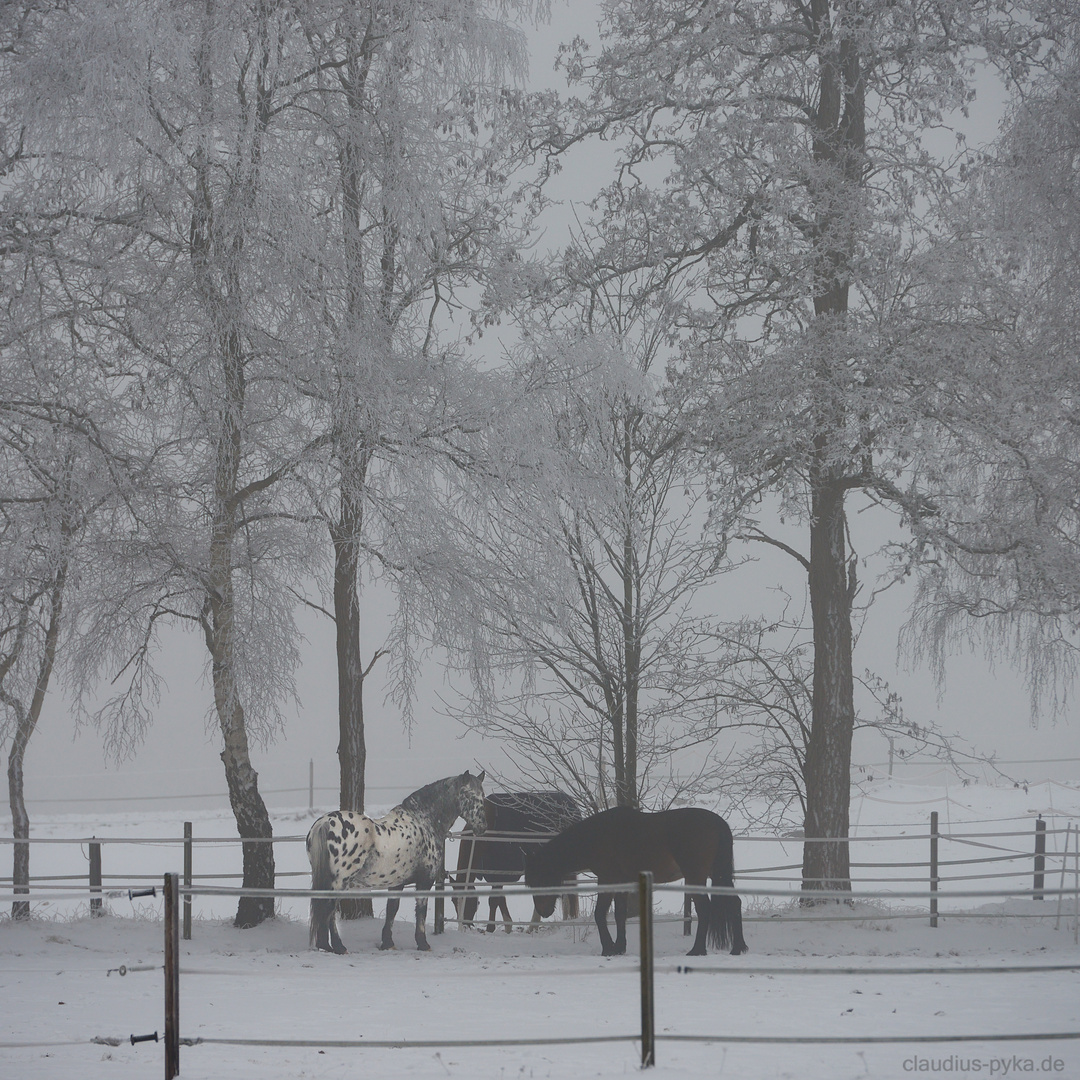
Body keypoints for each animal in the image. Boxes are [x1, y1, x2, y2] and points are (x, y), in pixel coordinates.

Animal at [306, 768, 488, 954]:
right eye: (469, 795)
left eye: (483, 796)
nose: (482, 827)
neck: (424, 822)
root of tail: (325, 823)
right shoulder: (425, 881)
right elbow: (420, 911)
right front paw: (423, 944)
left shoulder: (396, 883)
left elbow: (391, 910)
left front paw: (387, 943)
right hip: (339, 882)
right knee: (329, 911)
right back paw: (337, 946)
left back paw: (326, 945)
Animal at [449, 790, 583, 933]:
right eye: (453, 901)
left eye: (469, 901)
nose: (464, 926)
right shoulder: (493, 875)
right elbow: (500, 899)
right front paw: (507, 926)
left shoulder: (498, 872)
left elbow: (494, 900)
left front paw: (491, 928)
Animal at [520, 807, 743, 959]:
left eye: (540, 880)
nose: (543, 912)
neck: (597, 836)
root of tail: (718, 823)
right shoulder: (622, 882)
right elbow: (620, 915)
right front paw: (619, 947)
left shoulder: (608, 880)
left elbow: (599, 914)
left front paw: (608, 948)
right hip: (718, 875)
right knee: (735, 903)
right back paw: (738, 947)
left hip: (695, 877)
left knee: (705, 908)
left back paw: (697, 950)